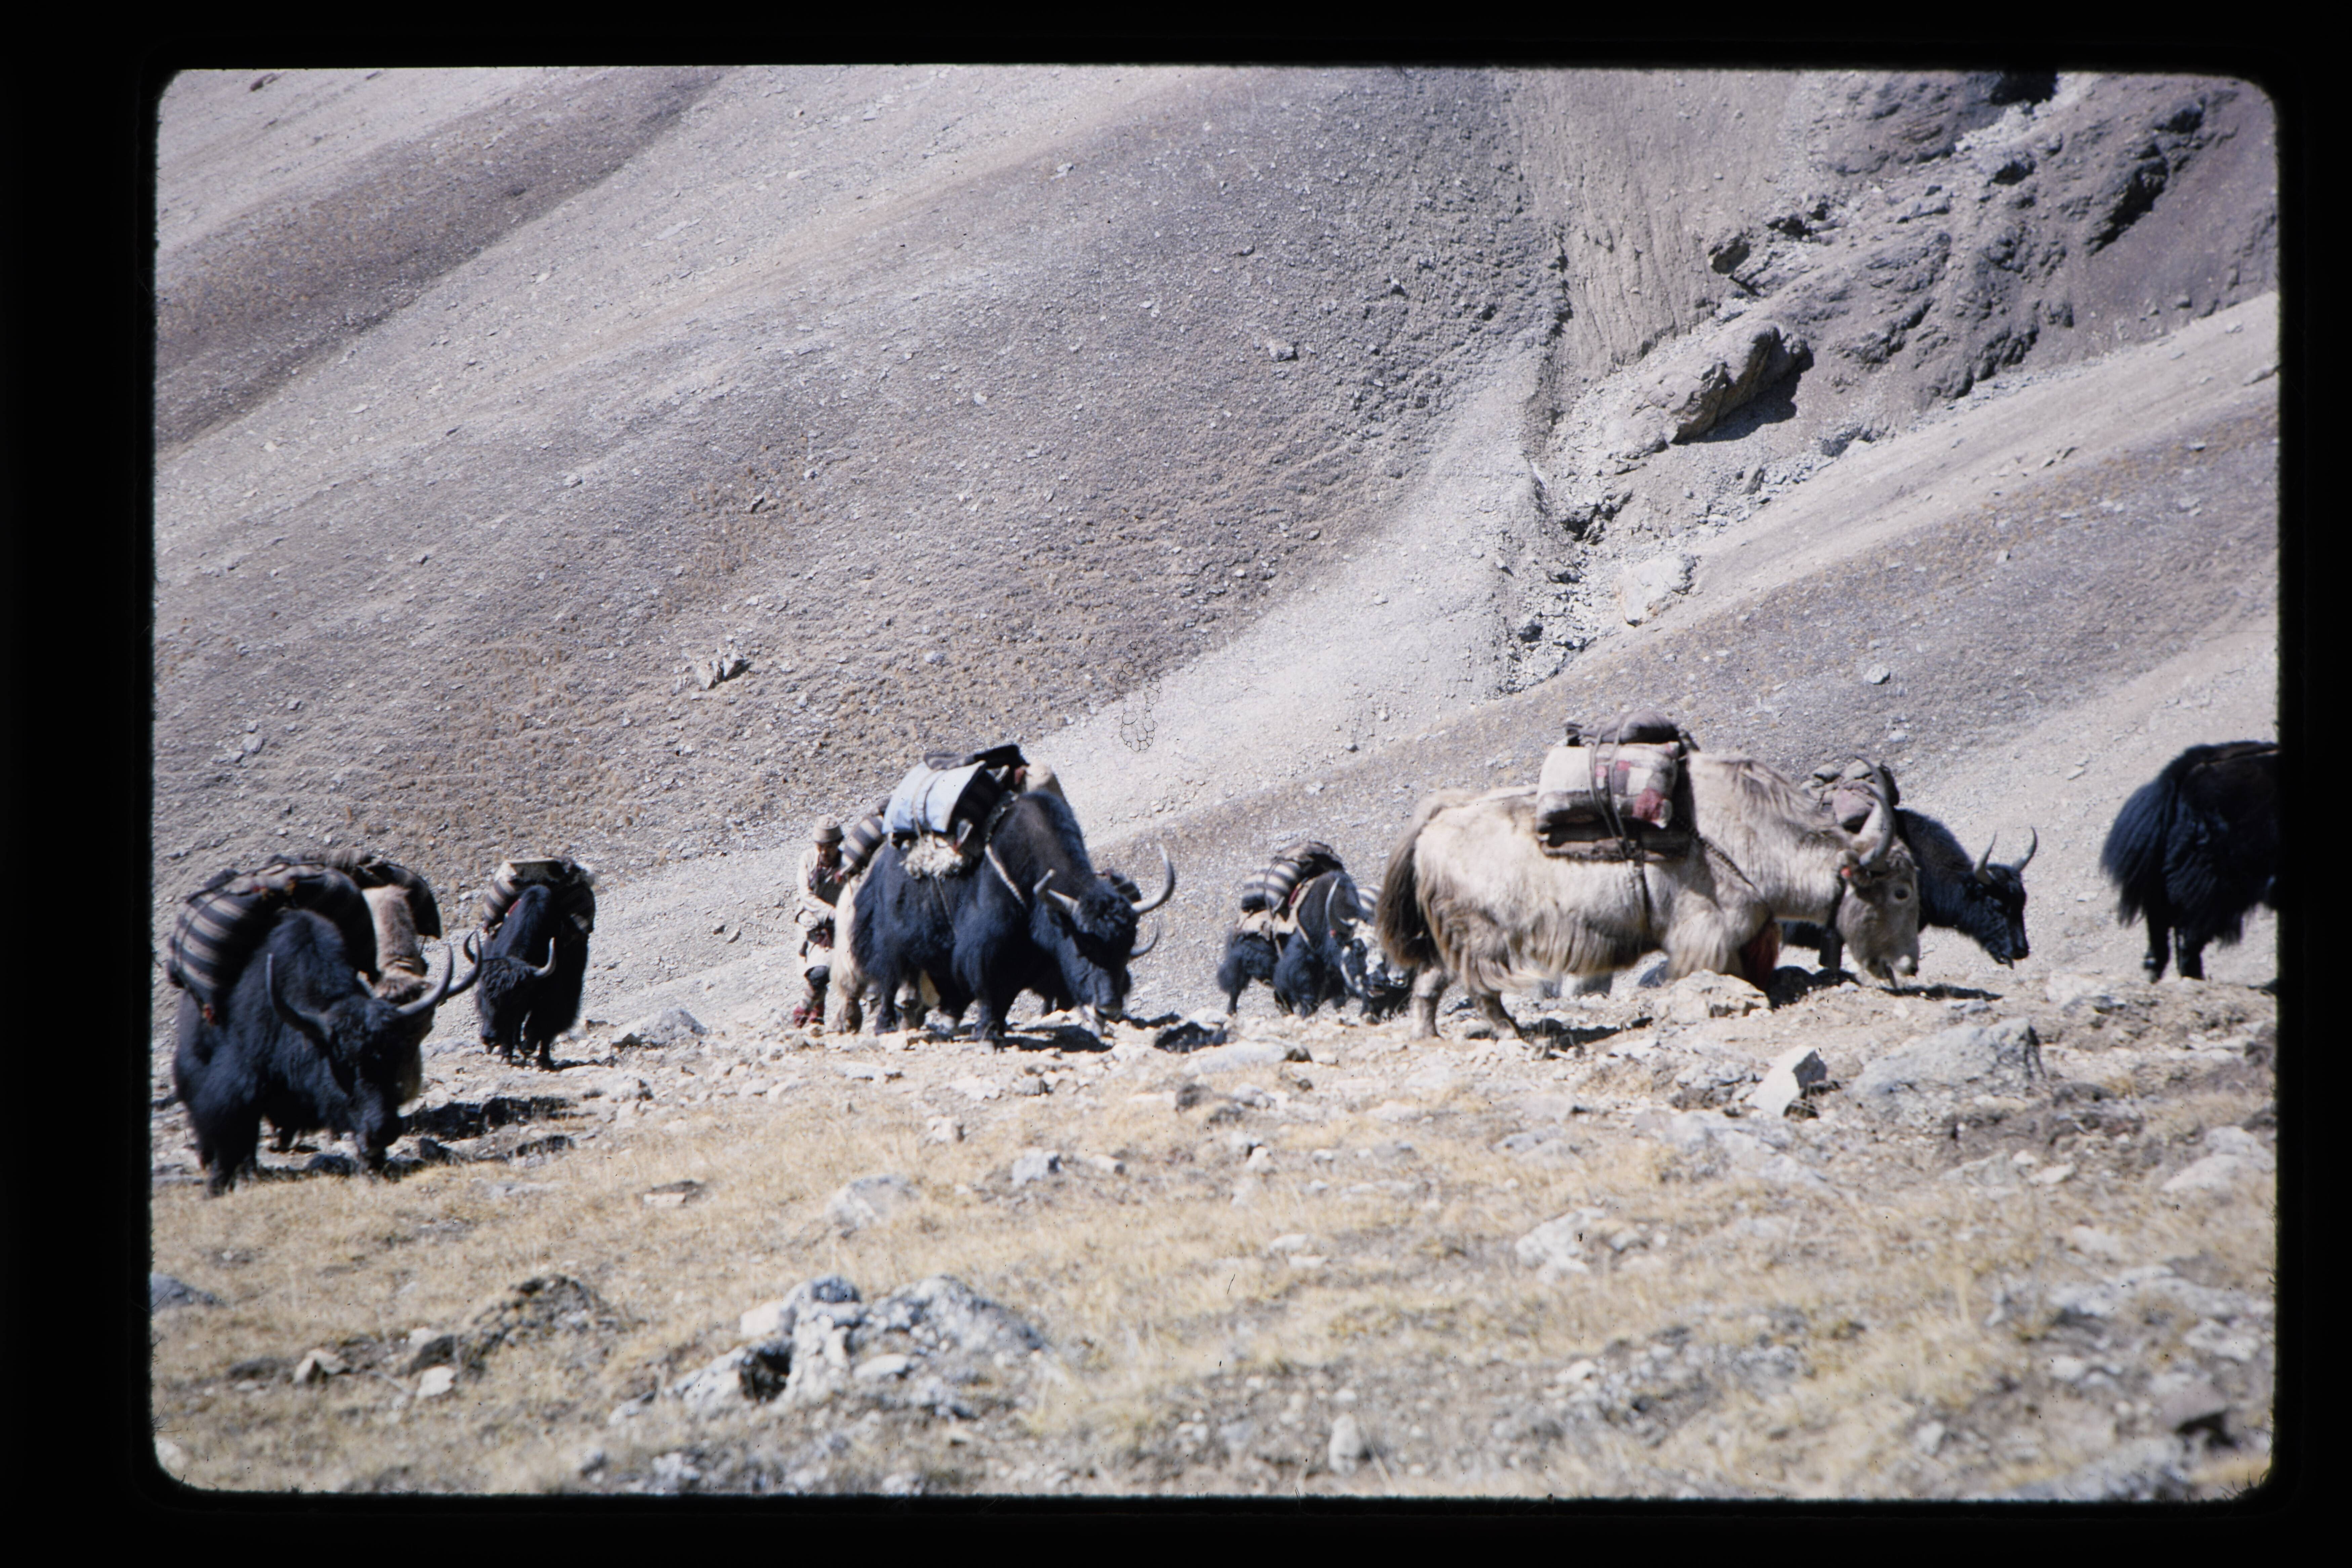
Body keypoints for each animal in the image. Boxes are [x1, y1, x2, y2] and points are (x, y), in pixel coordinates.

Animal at [173, 909, 473, 1194]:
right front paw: (216, 1187)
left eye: (395, 1057)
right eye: (343, 1063)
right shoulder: (240, 1083)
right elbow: (232, 1131)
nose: (384, 1130)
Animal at [475, 875, 596, 1069]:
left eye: (515, 998)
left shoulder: (555, 993)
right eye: (484, 994)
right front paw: (506, 1054)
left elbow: (543, 1021)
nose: (489, 1037)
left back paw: (541, 1057)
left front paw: (533, 1049)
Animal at [849, 789, 1174, 1043]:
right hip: (889, 942)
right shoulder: (985, 949)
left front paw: (997, 1030)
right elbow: (989, 986)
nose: (1110, 1009)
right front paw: (986, 1034)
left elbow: (1007, 995)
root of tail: (881, 866)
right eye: (1084, 950)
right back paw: (885, 1026)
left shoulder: (1030, 960)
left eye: (1126, 951)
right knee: (889, 980)